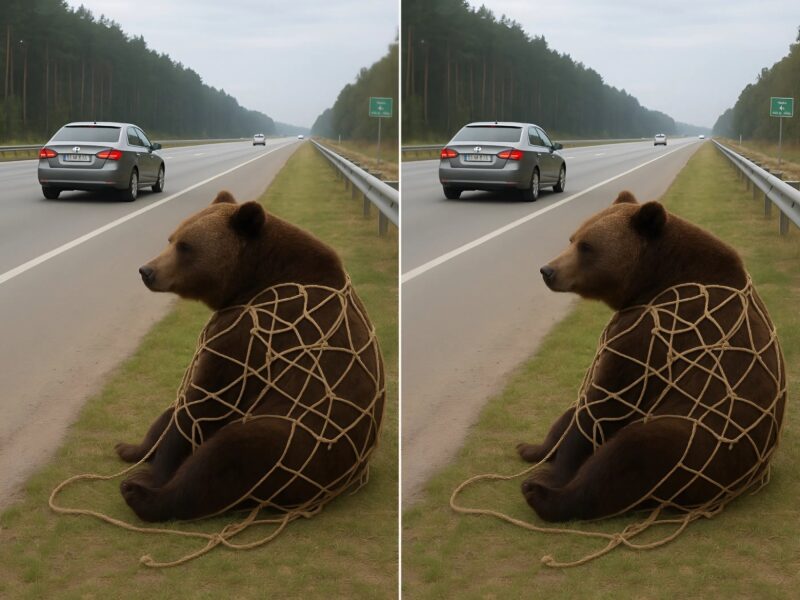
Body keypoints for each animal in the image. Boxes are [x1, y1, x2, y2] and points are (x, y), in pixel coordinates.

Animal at [115, 190, 385, 522]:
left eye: (185, 246)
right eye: (171, 238)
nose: (147, 271)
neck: (252, 281)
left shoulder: (249, 335)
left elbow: (204, 403)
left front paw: (150, 476)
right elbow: (179, 406)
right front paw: (131, 447)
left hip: (299, 442)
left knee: (228, 456)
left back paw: (141, 496)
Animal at [516, 190, 785, 522]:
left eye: (587, 246)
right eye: (572, 238)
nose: (548, 271)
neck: (652, 281)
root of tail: (743, 480)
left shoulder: (651, 336)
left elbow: (605, 403)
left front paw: (551, 475)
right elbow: (579, 407)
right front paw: (532, 447)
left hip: (703, 444)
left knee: (631, 455)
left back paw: (542, 496)